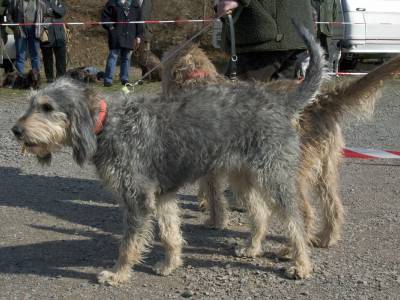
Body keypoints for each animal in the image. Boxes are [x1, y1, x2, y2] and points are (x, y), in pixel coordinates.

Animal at [11, 24, 324, 284]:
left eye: (47, 107)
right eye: (31, 103)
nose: (15, 130)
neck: (108, 124)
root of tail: (278, 102)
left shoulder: (137, 199)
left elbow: (128, 244)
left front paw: (118, 274)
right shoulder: (162, 196)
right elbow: (170, 233)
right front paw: (170, 264)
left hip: (274, 177)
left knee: (296, 220)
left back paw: (301, 264)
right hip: (242, 177)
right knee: (260, 212)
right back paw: (252, 247)